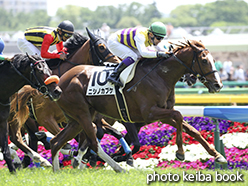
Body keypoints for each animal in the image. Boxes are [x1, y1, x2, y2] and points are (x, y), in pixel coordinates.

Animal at [50, 39, 227, 173]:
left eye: (213, 60)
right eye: (204, 60)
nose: (218, 85)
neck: (160, 76)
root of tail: (61, 81)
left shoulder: (161, 113)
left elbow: (191, 128)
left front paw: (218, 155)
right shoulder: (149, 113)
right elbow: (178, 115)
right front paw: (180, 152)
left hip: (76, 119)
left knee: (56, 142)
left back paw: (57, 170)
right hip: (82, 114)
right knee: (92, 141)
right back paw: (118, 168)